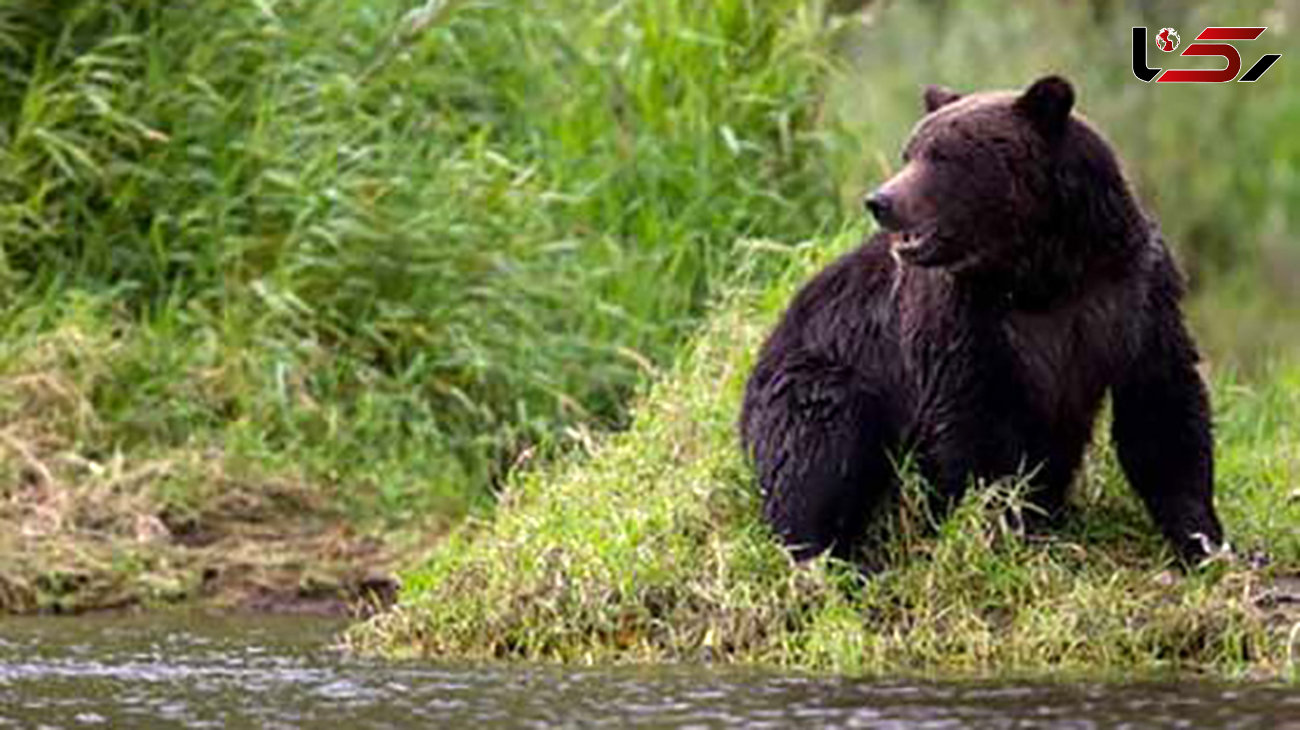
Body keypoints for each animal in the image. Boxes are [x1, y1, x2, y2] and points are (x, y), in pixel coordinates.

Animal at [748, 75, 1222, 563]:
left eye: (941, 156)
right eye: (909, 152)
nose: (880, 200)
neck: (1043, 273)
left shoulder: (1130, 296)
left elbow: (1162, 407)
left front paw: (1203, 539)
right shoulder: (964, 319)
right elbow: (974, 427)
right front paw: (1006, 528)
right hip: (818, 369)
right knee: (818, 442)